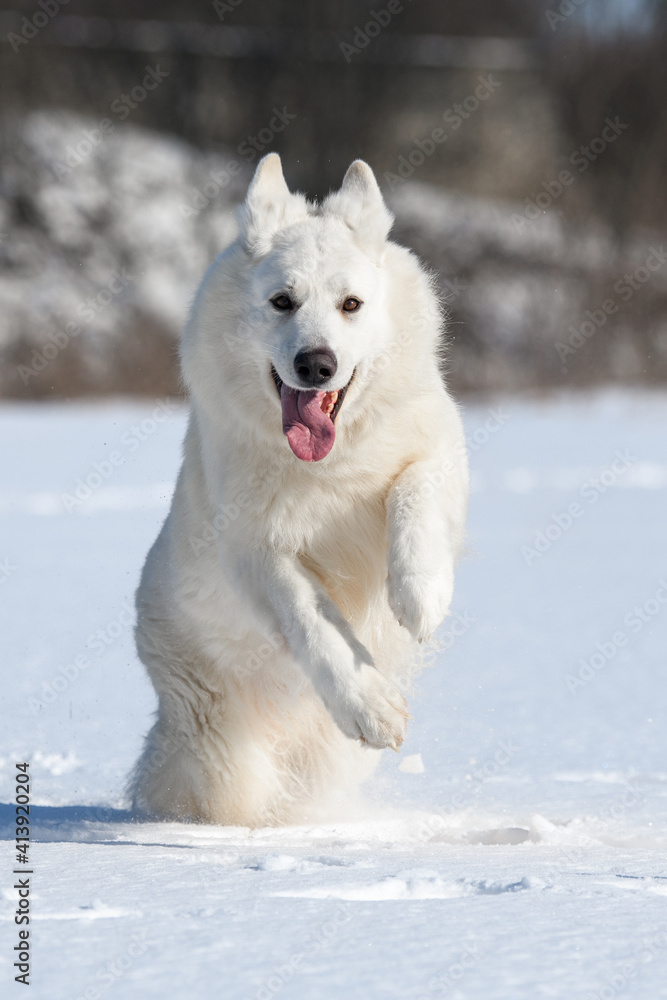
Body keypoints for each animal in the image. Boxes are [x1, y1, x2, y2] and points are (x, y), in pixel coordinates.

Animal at [128, 156, 468, 828]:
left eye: (351, 304)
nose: (316, 364)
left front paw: (420, 595)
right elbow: (312, 621)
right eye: (282, 302)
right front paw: (370, 707)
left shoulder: (439, 449)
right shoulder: (253, 548)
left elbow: (412, 492)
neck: (326, 468)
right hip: (222, 756)